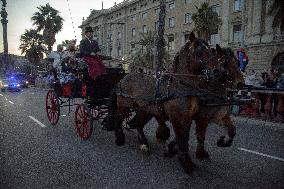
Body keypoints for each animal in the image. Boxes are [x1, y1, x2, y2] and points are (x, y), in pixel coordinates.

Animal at [112, 32, 239, 173]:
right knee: (118, 118)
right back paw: (120, 138)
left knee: (139, 124)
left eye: (211, 51)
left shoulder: (190, 117)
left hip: (144, 109)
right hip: (124, 105)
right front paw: (186, 162)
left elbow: (186, 136)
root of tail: (124, 78)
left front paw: (174, 150)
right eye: (198, 52)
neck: (181, 86)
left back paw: (144, 144)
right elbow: (182, 138)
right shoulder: (178, 117)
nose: (216, 72)